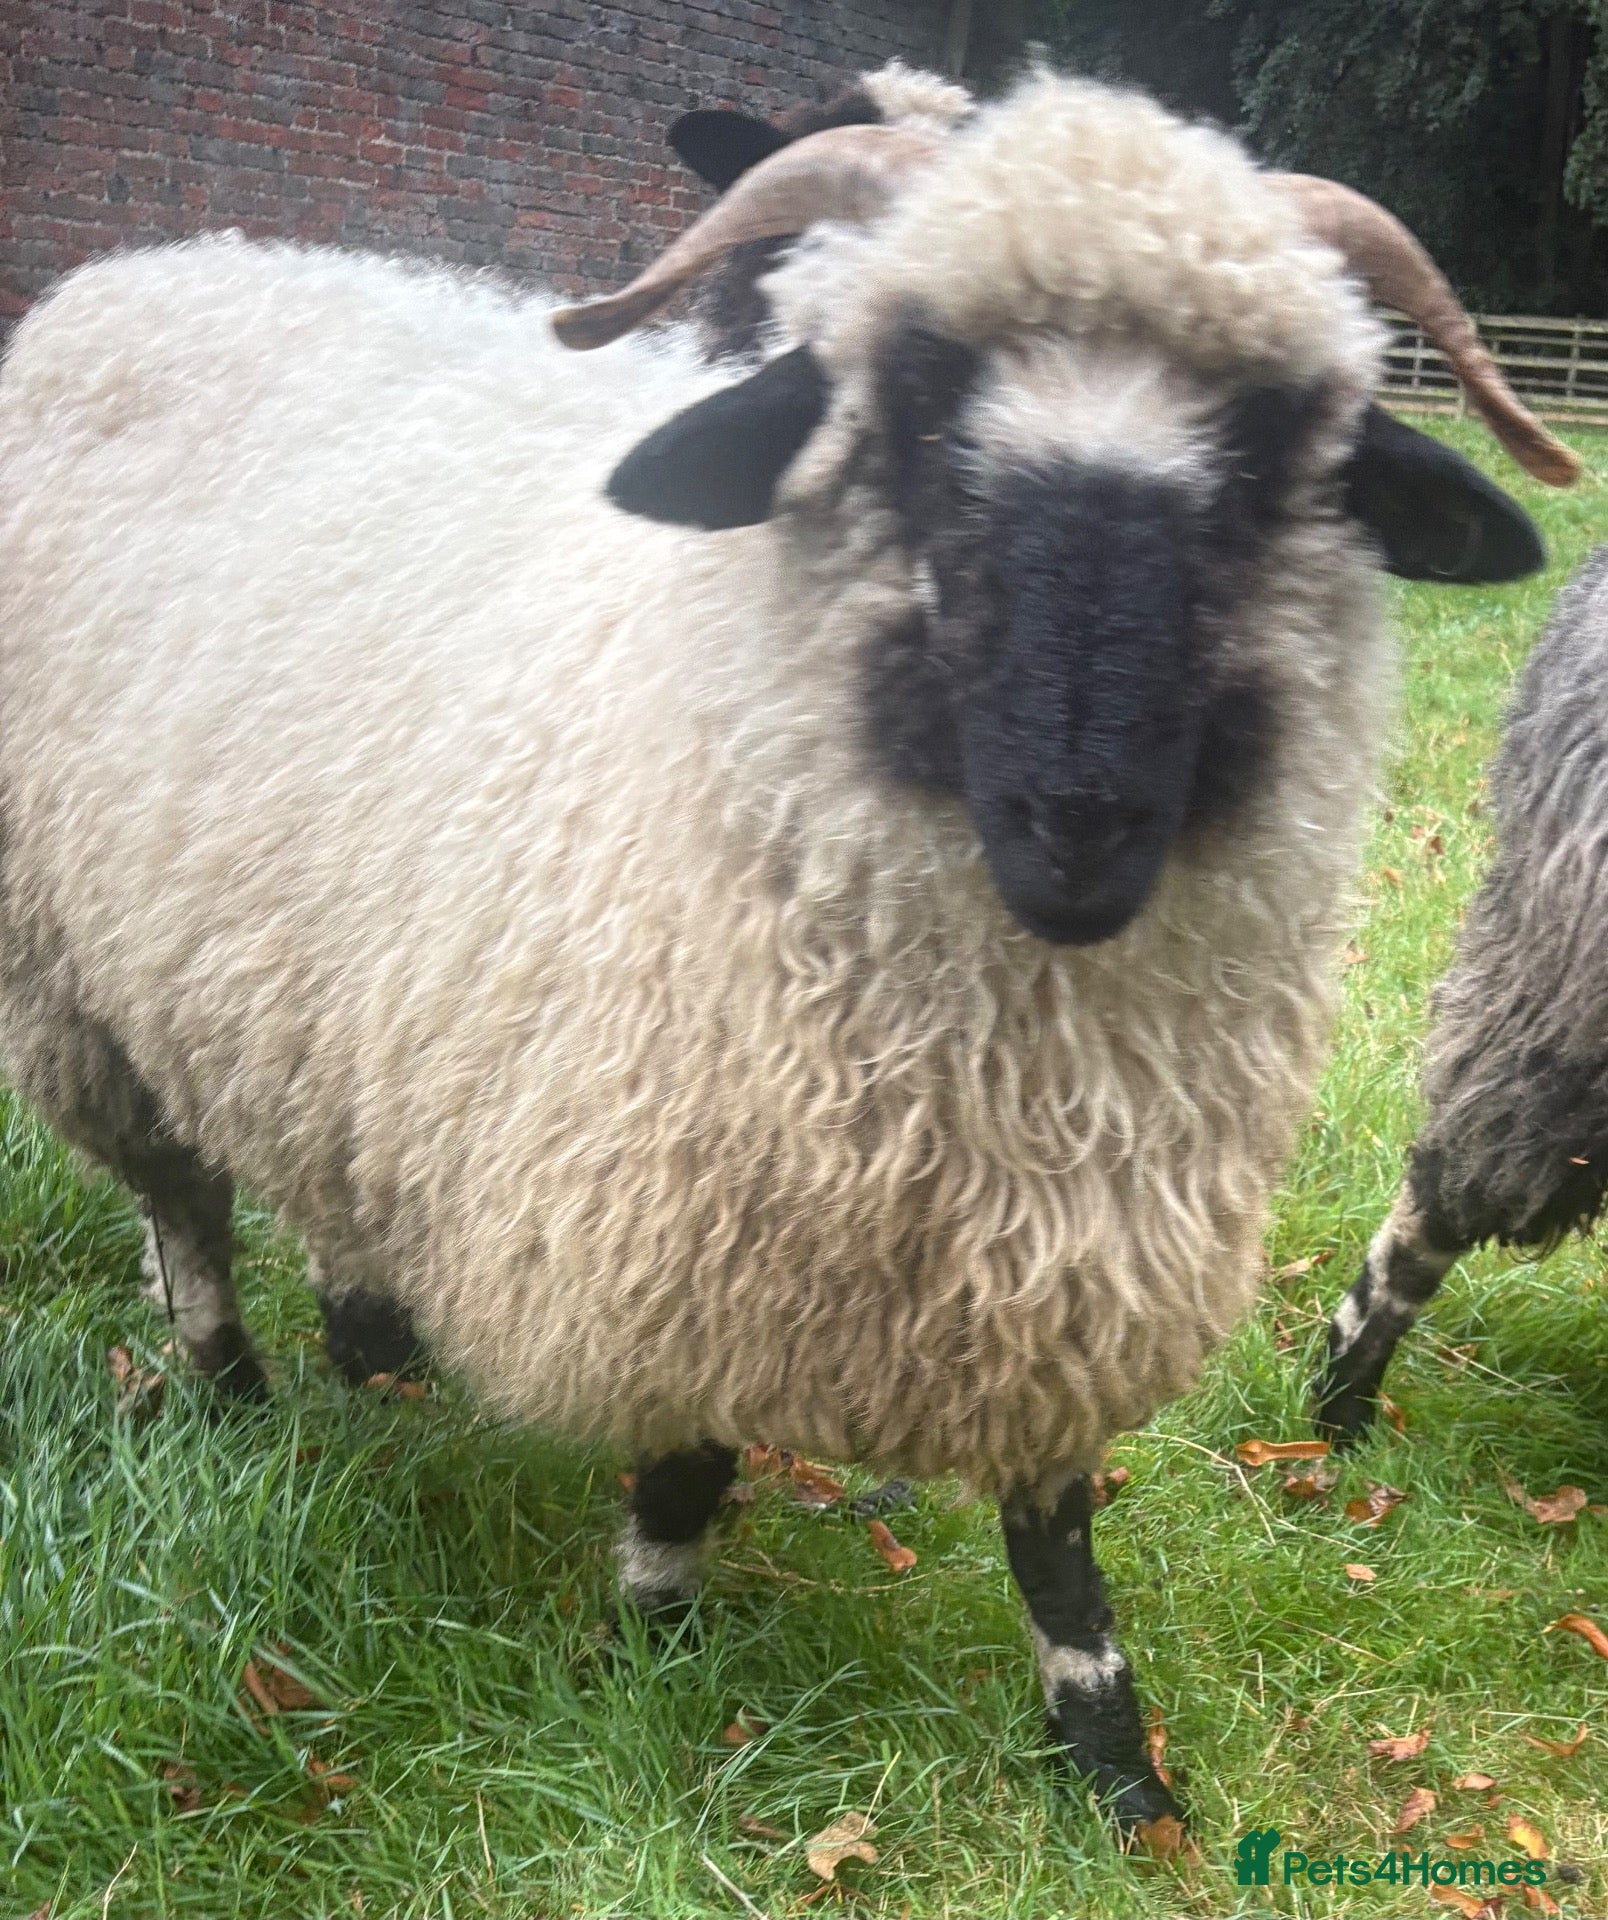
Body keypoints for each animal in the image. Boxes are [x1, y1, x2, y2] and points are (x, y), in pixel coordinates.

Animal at [0, 68, 1573, 1833]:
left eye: (1269, 457)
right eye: (909, 424)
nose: (1083, 820)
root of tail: (153, 267)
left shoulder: (1071, 1242)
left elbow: (1056, 1531)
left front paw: (1114, 1765)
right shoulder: (681, 1227)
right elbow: (686, 1459)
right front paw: (657, 1645)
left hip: (320, 998)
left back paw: (378, 1354)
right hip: (70, 975)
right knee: (181, 1199)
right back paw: (231, 1390)